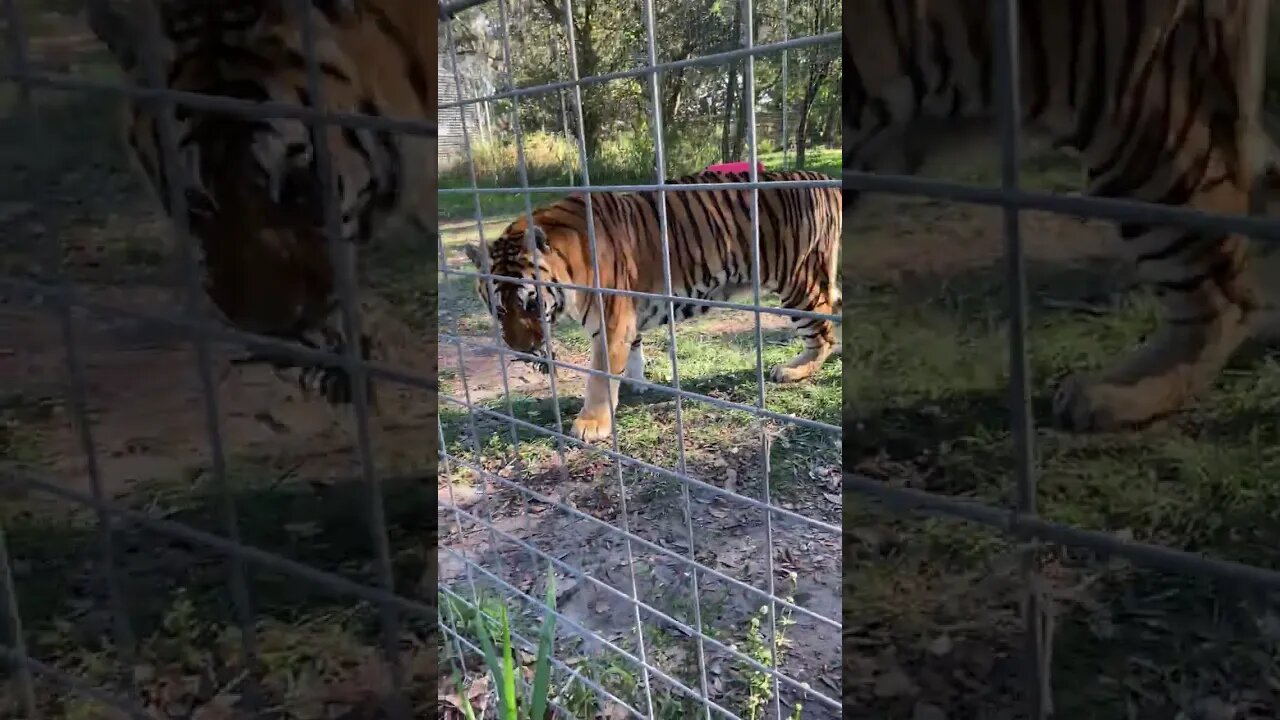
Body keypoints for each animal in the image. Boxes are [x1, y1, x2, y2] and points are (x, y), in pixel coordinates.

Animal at [465, 172, 844, 443]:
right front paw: (638, 383)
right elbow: (633, 351)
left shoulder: (611, 320)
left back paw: (792, 370)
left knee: (824, 334)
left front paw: (591, 423)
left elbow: (599, 376)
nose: (523, 351)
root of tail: (821, 177)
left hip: (799, 283)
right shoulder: (628, 316)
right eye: (500, 311)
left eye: (531, 304)